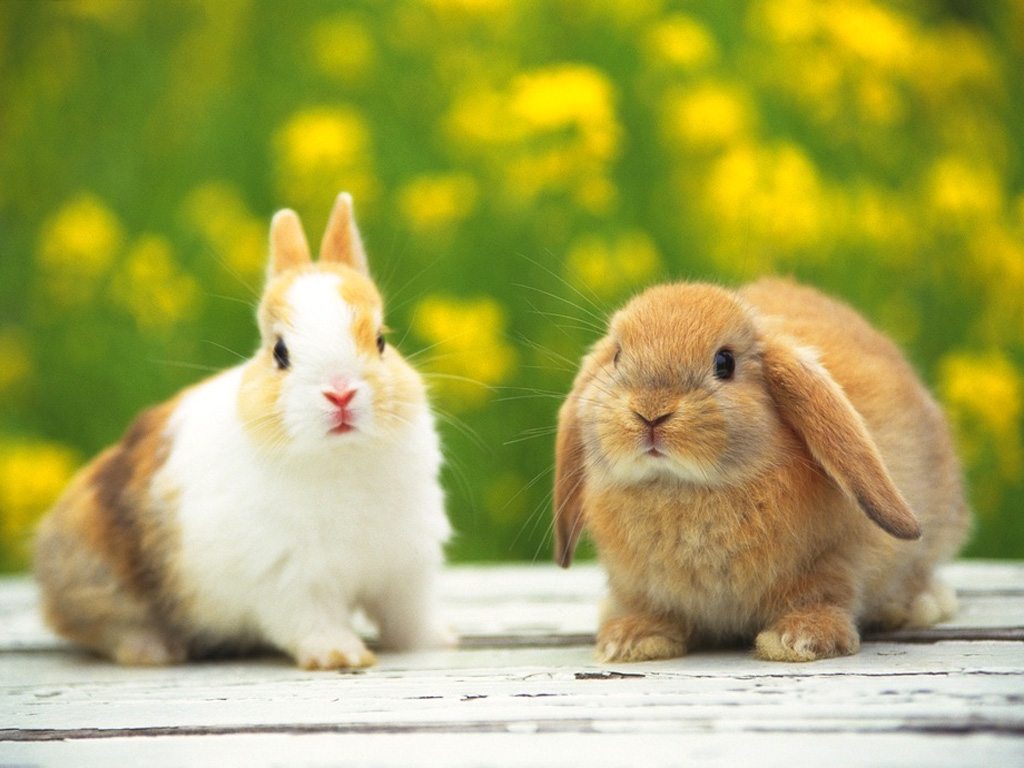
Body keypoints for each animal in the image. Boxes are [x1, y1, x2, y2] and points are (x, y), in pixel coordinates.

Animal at [34, 193, 453, 669]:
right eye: (280, 352)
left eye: (381, 340)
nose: (340, 392)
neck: (341, 458)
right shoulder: (290, 580)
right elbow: (314, 622)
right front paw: (341, 656)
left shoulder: (405, 569)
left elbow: (409, 615)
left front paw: (438, 641)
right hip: (99, 571)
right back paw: (154, 649)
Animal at [554, 278, 970, 663]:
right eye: (617, 357)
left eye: (724, 363)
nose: (650, 412)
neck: (682, 488)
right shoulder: (640, 585)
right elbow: (650, 608)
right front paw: (632, 640)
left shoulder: (832, 561)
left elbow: (823, 594)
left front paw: (800, 641)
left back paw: (917, 606)